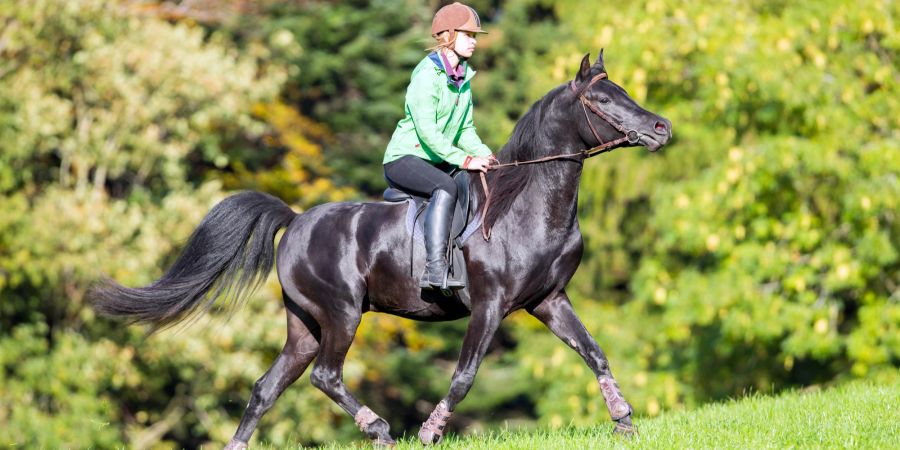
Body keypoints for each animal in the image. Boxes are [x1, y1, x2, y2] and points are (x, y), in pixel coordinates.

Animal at [91, 51, 668, 446]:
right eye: (603, 100)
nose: (661, 128)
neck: (524, 206)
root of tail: (296, 221)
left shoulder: (548, 301)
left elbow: (595, 353)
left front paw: (625, 421)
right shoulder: (491, 305)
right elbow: (464, 376)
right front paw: (430, 432)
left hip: (305, 324)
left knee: (266, 387)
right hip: (342, 313)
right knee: (325, 375)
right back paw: (382, 429)